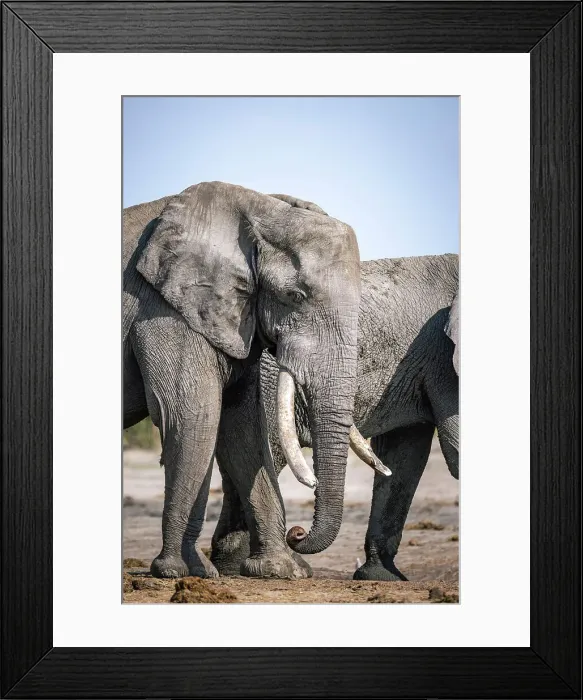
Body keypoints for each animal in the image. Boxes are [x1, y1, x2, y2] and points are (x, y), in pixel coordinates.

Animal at [123, 181, 371, 579]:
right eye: (294, 296)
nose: (297, 533)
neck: (258, 208)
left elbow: (244, 429)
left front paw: (281, 572)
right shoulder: (163, 308)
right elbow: (194, 417)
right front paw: (177, 572)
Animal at [210, 253, 459, 581]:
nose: (298, 532)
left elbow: (405, 456)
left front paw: (382, 577)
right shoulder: (446, 362)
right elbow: (453, 447)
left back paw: (233, 566)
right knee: (266, 454)